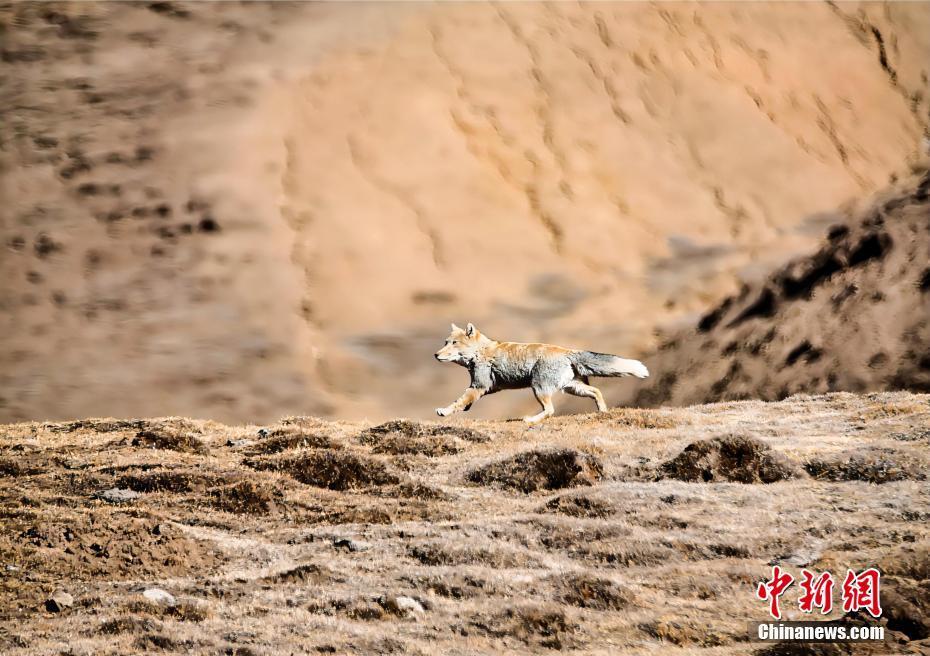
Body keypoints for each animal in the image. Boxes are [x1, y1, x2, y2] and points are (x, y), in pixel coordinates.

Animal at [434, 324, 644, 426]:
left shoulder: (480, 385)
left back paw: (530, 420)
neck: (480, 351)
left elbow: (458, 401)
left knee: (550, 410)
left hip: (539, 388)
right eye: (445, 342)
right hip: (572, 387)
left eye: (453, 343)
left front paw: (445, 411)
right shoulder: (486, 387)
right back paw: (602, 411)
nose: (435, 355)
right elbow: (465, 402)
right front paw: (463, 409)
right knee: (596, 391)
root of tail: (567, 351)